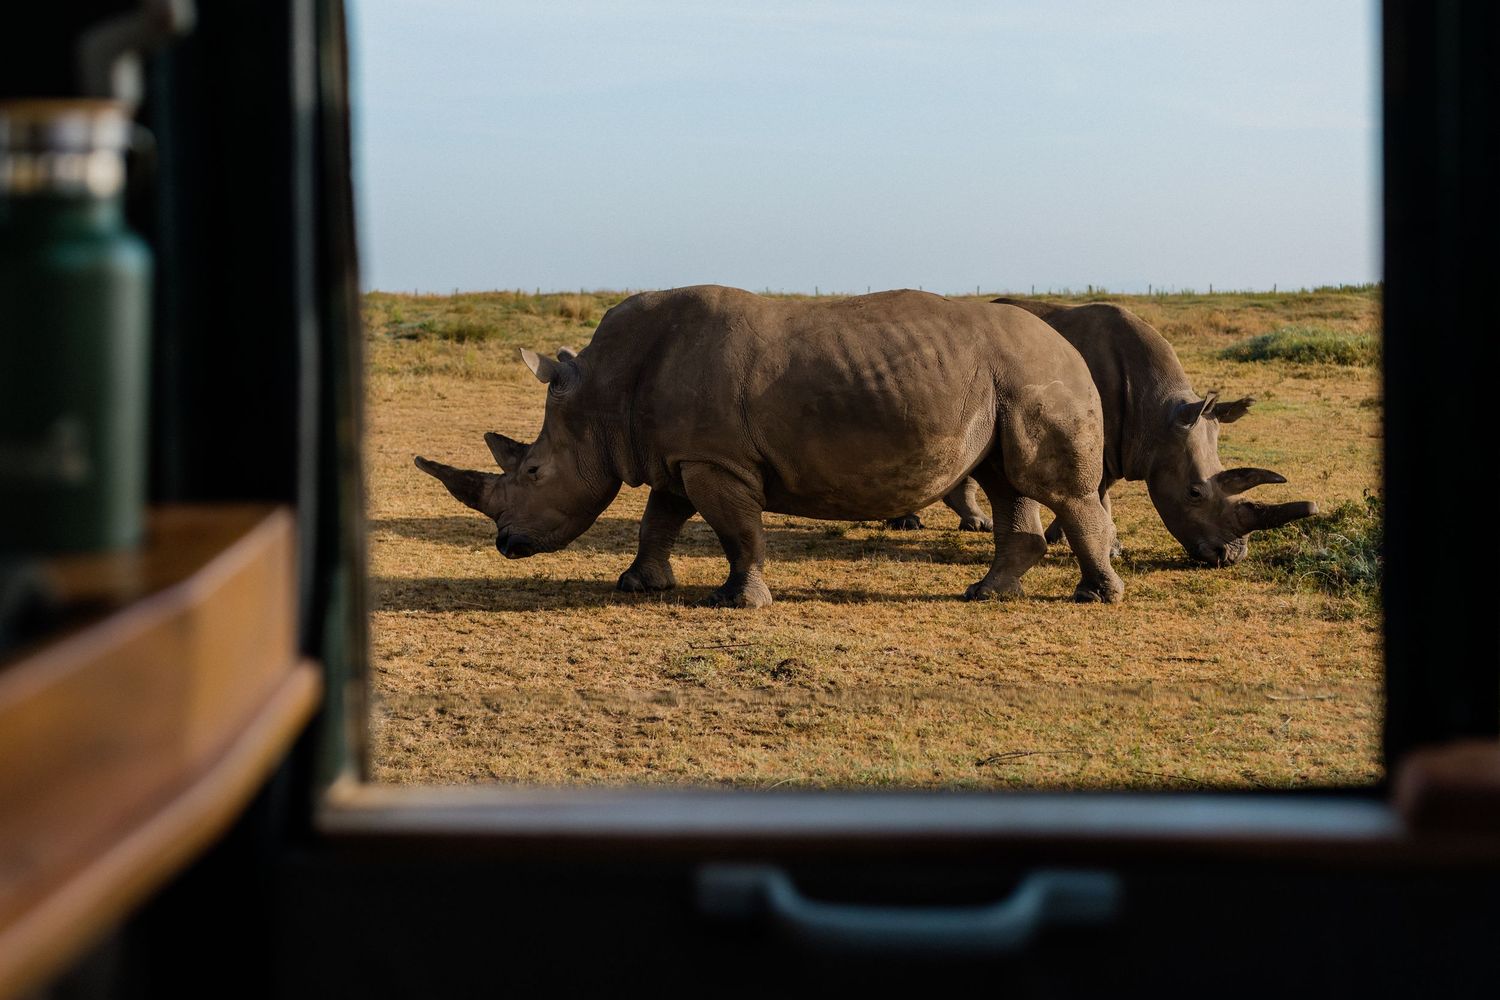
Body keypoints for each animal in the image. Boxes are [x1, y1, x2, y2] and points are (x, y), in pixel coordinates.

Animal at [416, 285, 1123, 608]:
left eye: (534, 470)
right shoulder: (680, 456)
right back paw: (988, 594)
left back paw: (1095, 597)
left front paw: (737, 602)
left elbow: (737, 531)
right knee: (1007, 480)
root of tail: (1067, 344)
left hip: (1036, 374)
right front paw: (638, 585)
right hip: (1006, 378)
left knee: (1053, 487)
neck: (603, 392)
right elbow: (658, 520)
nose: (506, 544)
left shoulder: (715, 459)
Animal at [888, 299, 1317, 565]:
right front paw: (1103, 547)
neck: (1157, 416)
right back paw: (910, 522)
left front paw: (1093, 544)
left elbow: (1100, 489)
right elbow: (1096, 489)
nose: (1229, 558)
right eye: (1194, 493)